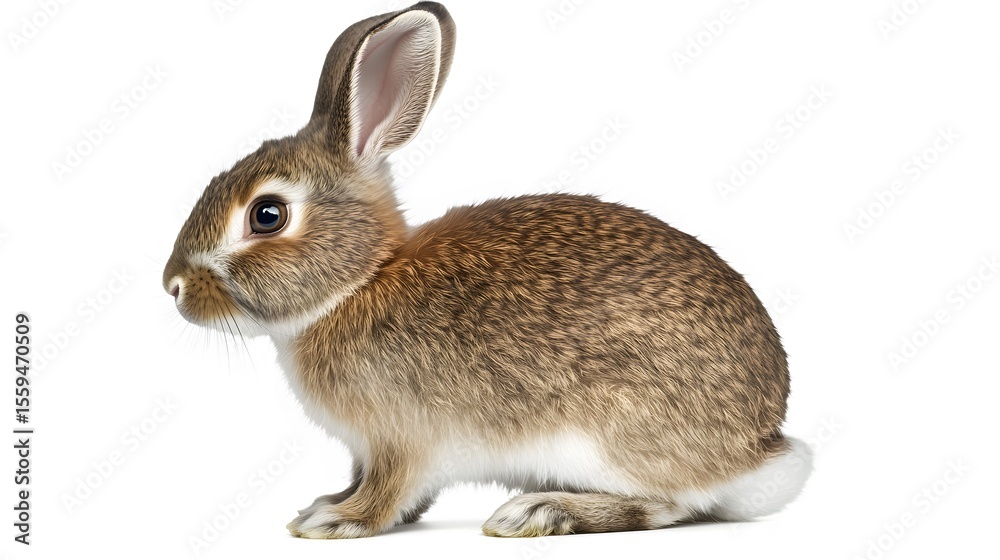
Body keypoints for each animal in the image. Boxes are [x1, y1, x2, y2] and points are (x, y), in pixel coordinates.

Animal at [163, 1, 812, 539]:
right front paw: (326, 501)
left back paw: (539, 511)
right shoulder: (366, 447)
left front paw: (336, 521)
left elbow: (388, 490)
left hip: (608, 434)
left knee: (667, 505)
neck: (360, 281)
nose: (173, 286)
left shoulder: (402, 438)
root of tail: (760, 448)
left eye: (267, 215)